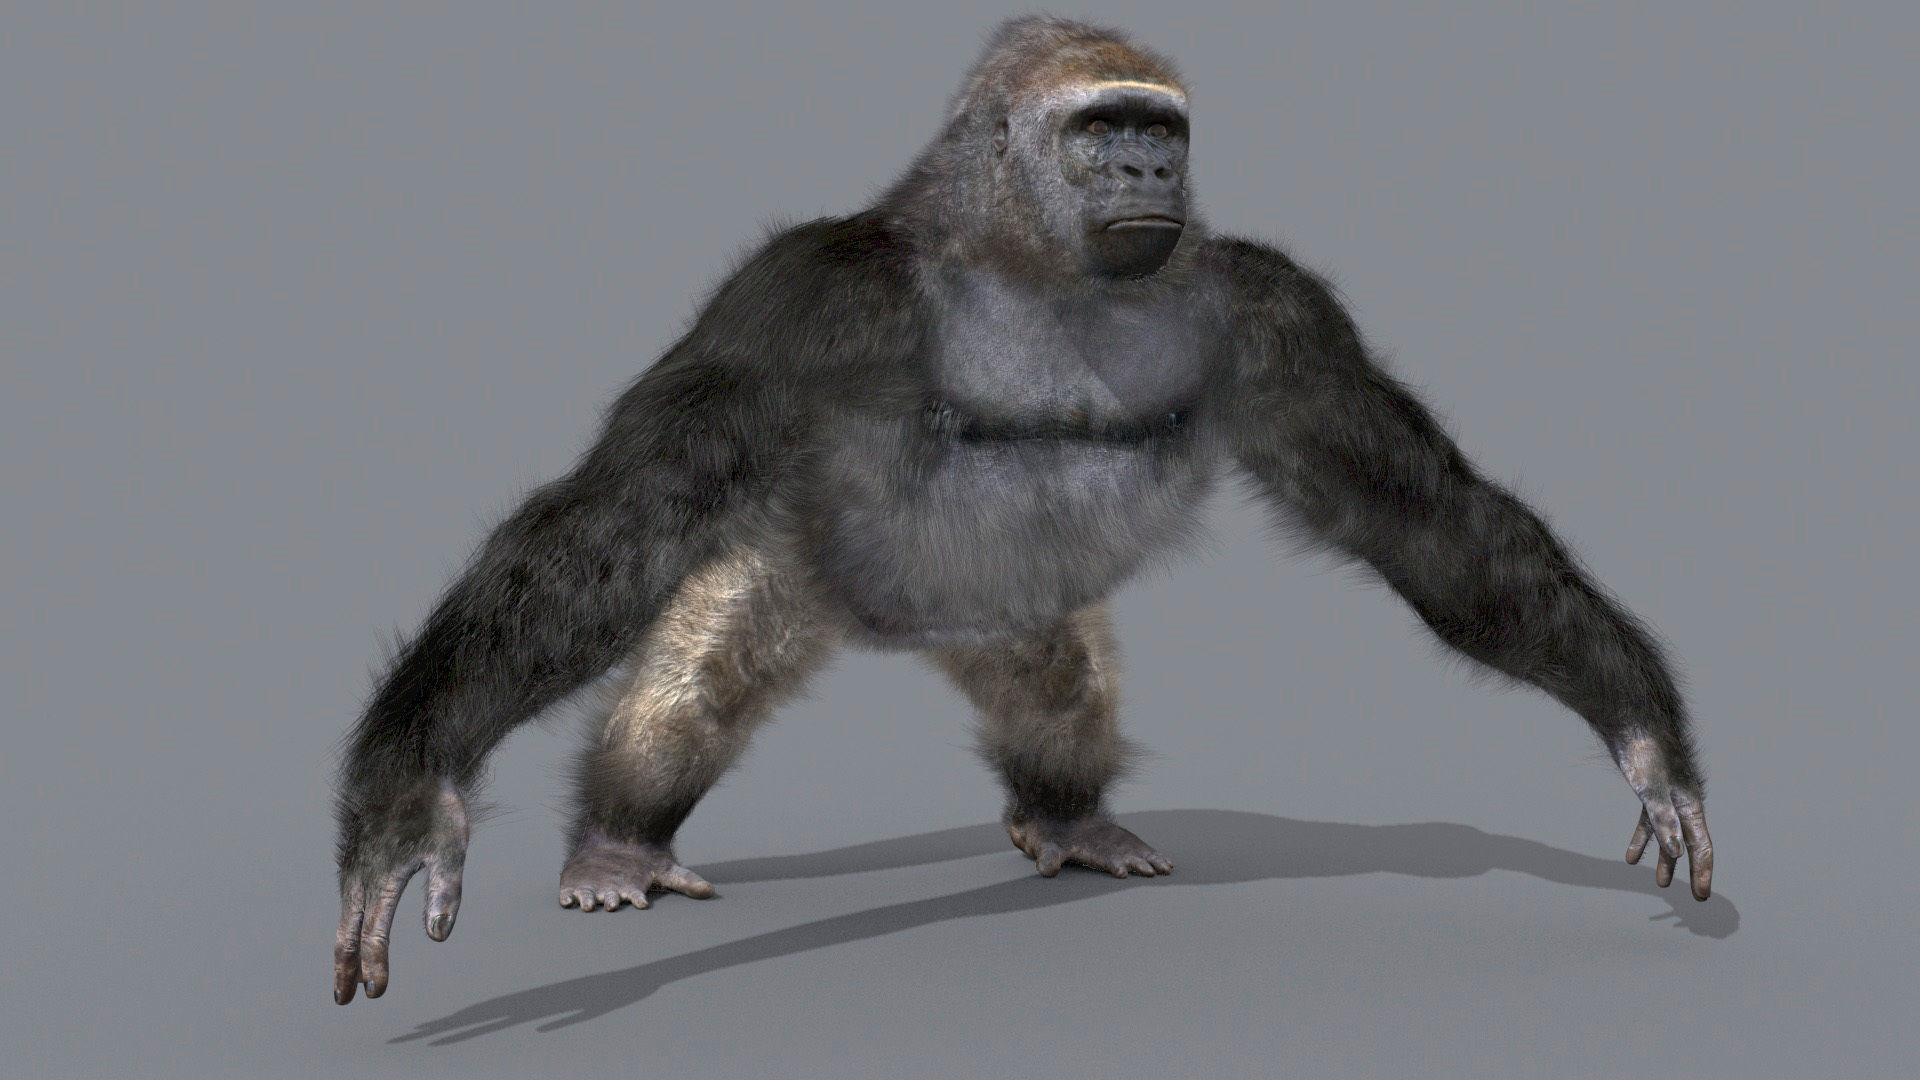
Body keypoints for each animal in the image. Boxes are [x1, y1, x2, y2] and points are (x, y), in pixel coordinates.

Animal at [332, 16, 1713, 1005]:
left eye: (1163, 130)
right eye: (1104, 127)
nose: (1151, 164)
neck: (1029, 255)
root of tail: (894, 631)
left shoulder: (1282, 315)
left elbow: (1430, 520)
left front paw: (1641, 732)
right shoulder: (802, 293)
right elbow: (625, 512)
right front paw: (411, 792)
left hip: (1010, 623)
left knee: (1059, 697)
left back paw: (1065, 816)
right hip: (785, 559)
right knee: (692, 687)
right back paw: (621, 841)